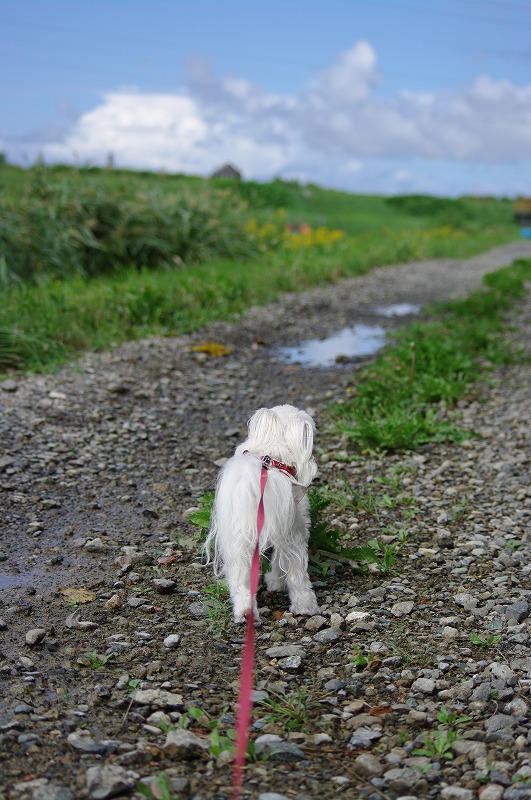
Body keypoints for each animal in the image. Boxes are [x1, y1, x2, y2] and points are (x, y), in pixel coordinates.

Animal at [205, 404, 320, 623]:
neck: (274, 458)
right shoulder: (294, 527)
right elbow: (283, 564)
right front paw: (277, 583)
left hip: (237, 541)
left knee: (240, 580)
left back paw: (245, 611)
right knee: (297, 573)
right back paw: (306, 606)